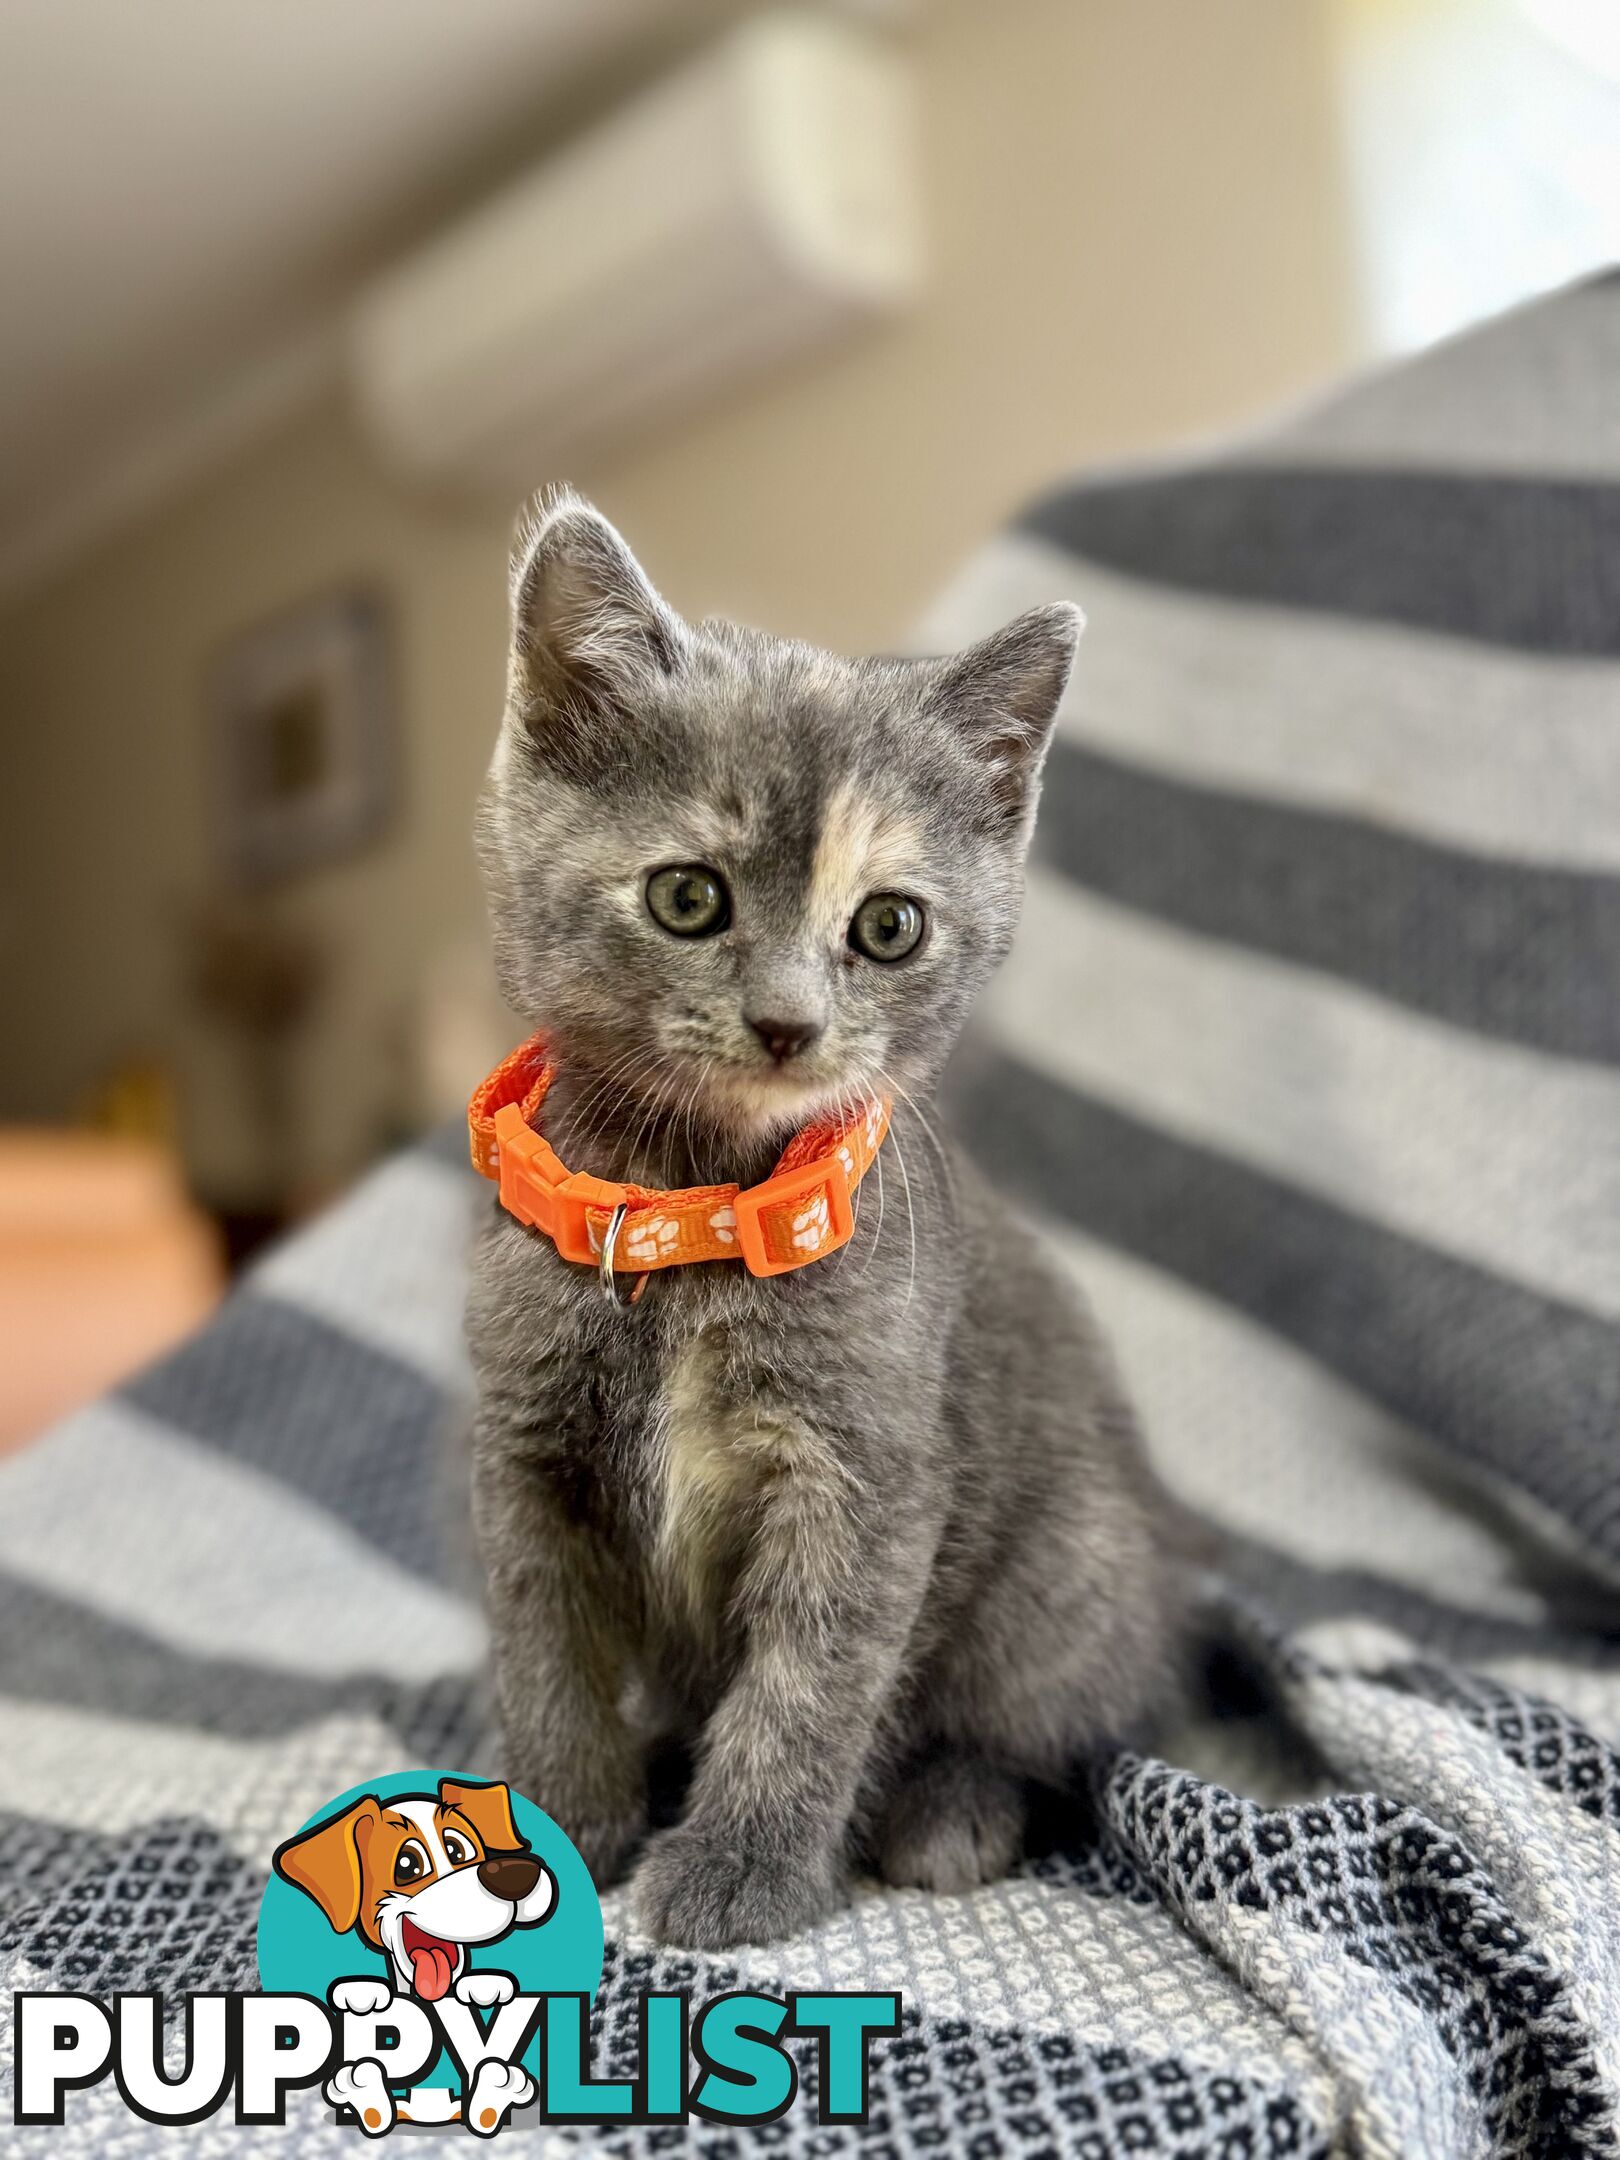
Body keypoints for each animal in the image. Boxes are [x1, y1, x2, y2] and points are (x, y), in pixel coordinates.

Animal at [462, 494, 1183, 1961]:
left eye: (889, 925)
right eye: (689, 897)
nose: (789, 1023)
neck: (689, 1221)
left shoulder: (866, 1472)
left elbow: (811, 1683)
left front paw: (740, 1869)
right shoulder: (525, 1450)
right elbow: (543, 1649)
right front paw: (563, 1818)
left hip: (1070, 1568)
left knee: (1059, 1732)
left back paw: (951, 1811)